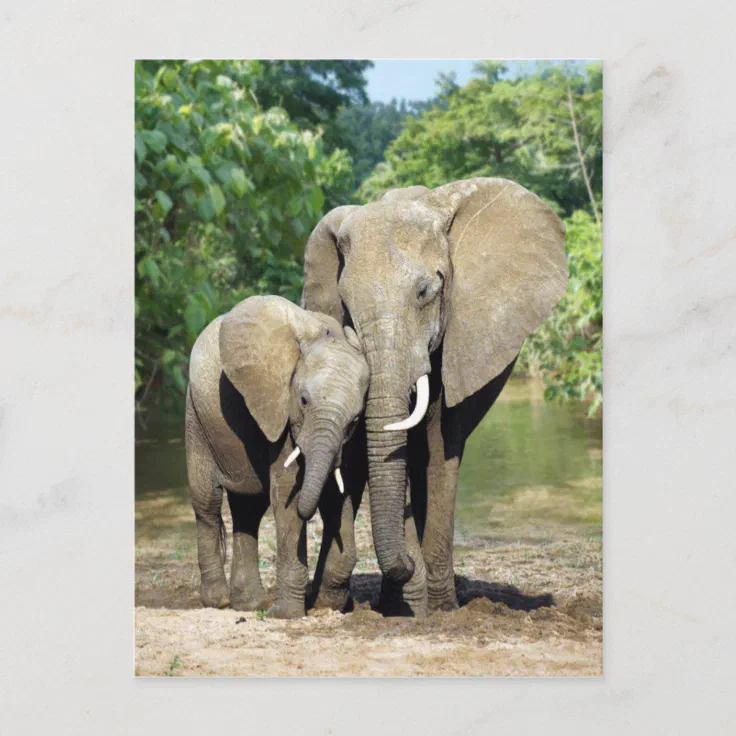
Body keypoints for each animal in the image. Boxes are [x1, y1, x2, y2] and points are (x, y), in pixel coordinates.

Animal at [184, 294, 368, 616]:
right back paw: (219, 601)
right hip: (196, 415)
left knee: (248, 509)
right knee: (207, 502)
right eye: (303, 400)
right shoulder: (280, 410)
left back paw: (248, 605)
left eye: (355, 420)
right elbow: (285, 493)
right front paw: (287, 615)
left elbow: (336, 494)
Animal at [302, 178, 568, 616]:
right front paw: (405, 599)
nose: (408, 565)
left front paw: (437, 607)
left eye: (425, 292)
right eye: (346, 306)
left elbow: (441, 447)